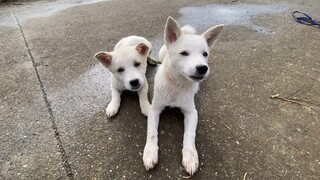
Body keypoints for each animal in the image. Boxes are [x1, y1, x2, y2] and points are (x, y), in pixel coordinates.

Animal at [144, 16, 224, 174]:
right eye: (184, 53)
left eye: (205, 54)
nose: (203, 68)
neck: (177, 85)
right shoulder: (154, 109)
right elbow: (152, 132)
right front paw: (150, 153)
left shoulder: (191, 112)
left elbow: (189, 134)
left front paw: (190, 157)